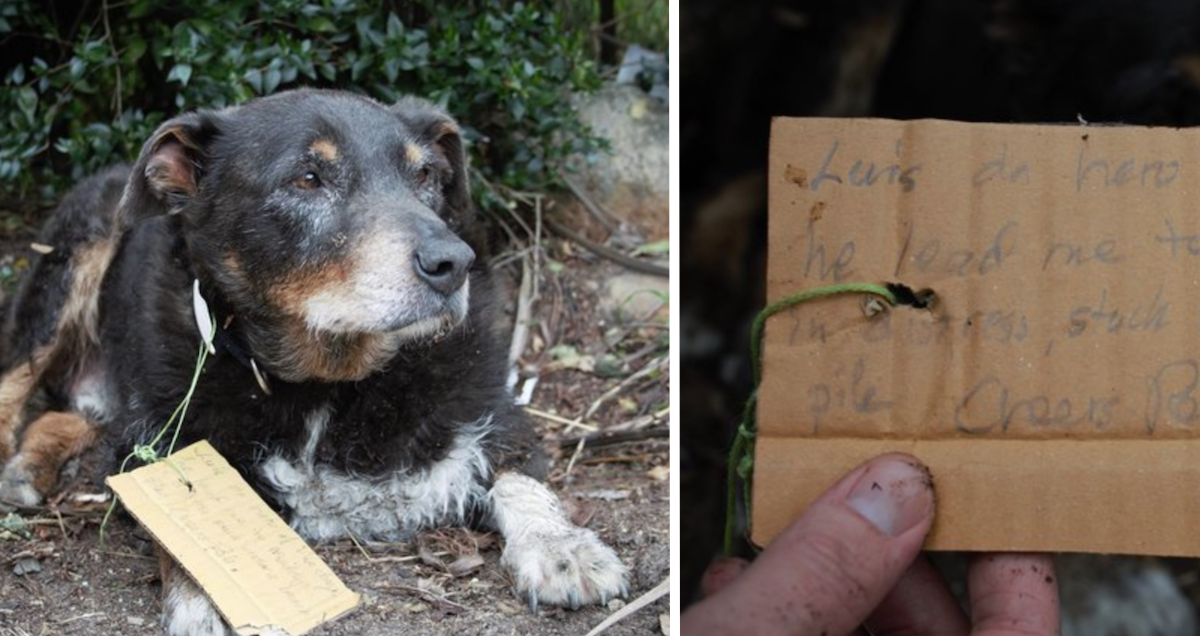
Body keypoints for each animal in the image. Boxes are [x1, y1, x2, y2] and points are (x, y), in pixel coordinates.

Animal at [0, 88, 628, 633]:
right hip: (67, 268)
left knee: (67, 414)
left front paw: (563, 547)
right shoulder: (153, 442)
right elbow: (182, 532)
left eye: (424, 175)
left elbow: (522, 479)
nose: (454, 262)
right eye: (307, 178)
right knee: (16, 385)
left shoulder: (498, 411)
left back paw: (28, 468)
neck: (331, 382)